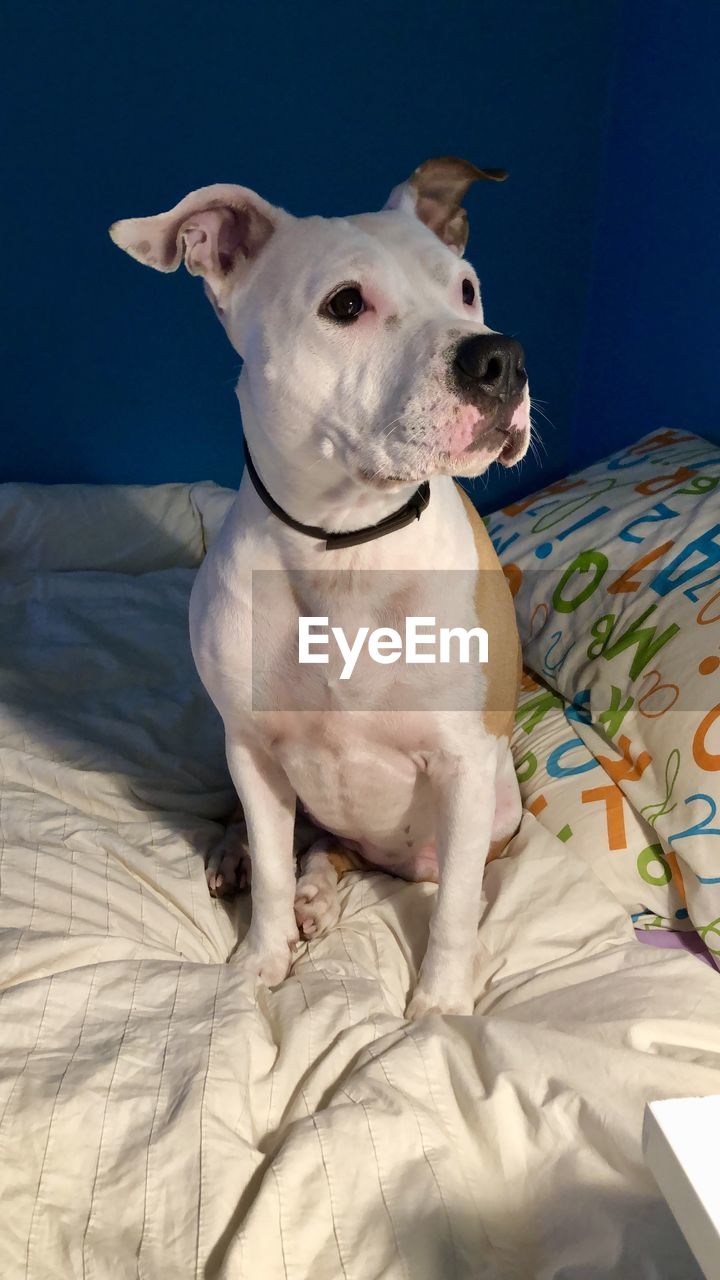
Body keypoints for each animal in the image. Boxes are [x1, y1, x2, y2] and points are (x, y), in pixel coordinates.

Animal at [110, 154, 527, 1013]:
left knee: (347, 852)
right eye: (346, 304)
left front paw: (440, 1009)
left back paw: (324, 889)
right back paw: (255, 866)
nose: (500, 358)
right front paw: (257, 961)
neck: (346, 547)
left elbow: (457, 907)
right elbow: (271, 866)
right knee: (289, 840)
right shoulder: (253, 748)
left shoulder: (466, 766)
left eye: (467, 288)